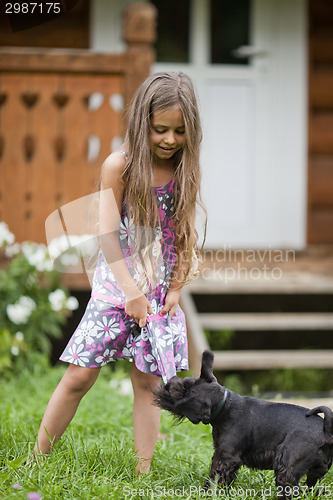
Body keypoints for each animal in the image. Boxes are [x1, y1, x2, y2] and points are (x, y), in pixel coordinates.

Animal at [154, 350, 332, 498]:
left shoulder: (227, 457)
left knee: (292, 488)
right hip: (316, 473)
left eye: (180, 391)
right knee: (312, 489)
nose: (167, 384)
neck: (225, 407)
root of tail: (326, 431)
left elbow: (215, 477)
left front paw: (207, 493)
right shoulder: (221, 454)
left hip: (287, 467)